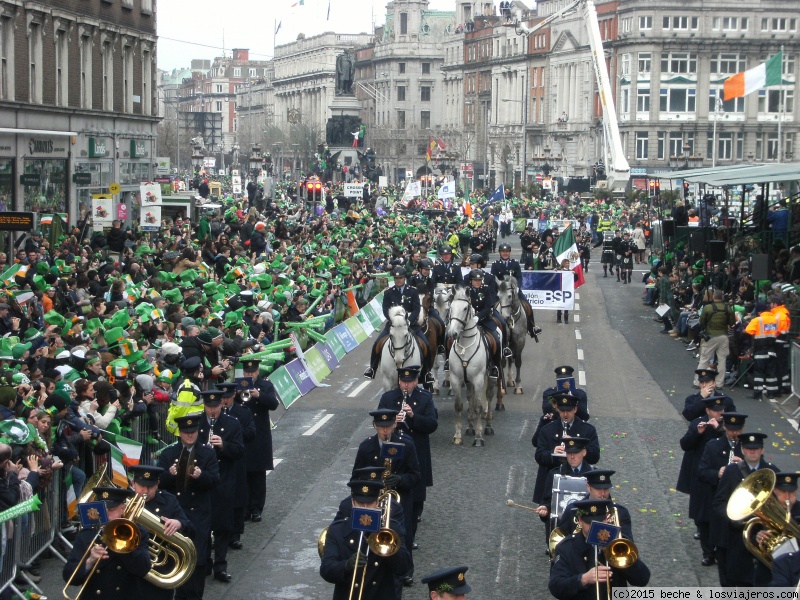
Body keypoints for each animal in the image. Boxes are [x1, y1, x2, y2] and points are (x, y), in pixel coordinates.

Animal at [444, 286, 494, 446]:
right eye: (451, 307)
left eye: (465, 308)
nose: (452, 333)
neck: (466, 346)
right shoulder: (456, 379)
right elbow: (459, 406)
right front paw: (457, 436)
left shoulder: (478, 379)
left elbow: (478, 407)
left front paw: (478, 438)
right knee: (470, 396)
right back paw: (470, 427)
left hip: (492, 376)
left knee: (489, 396)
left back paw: (488, 426)